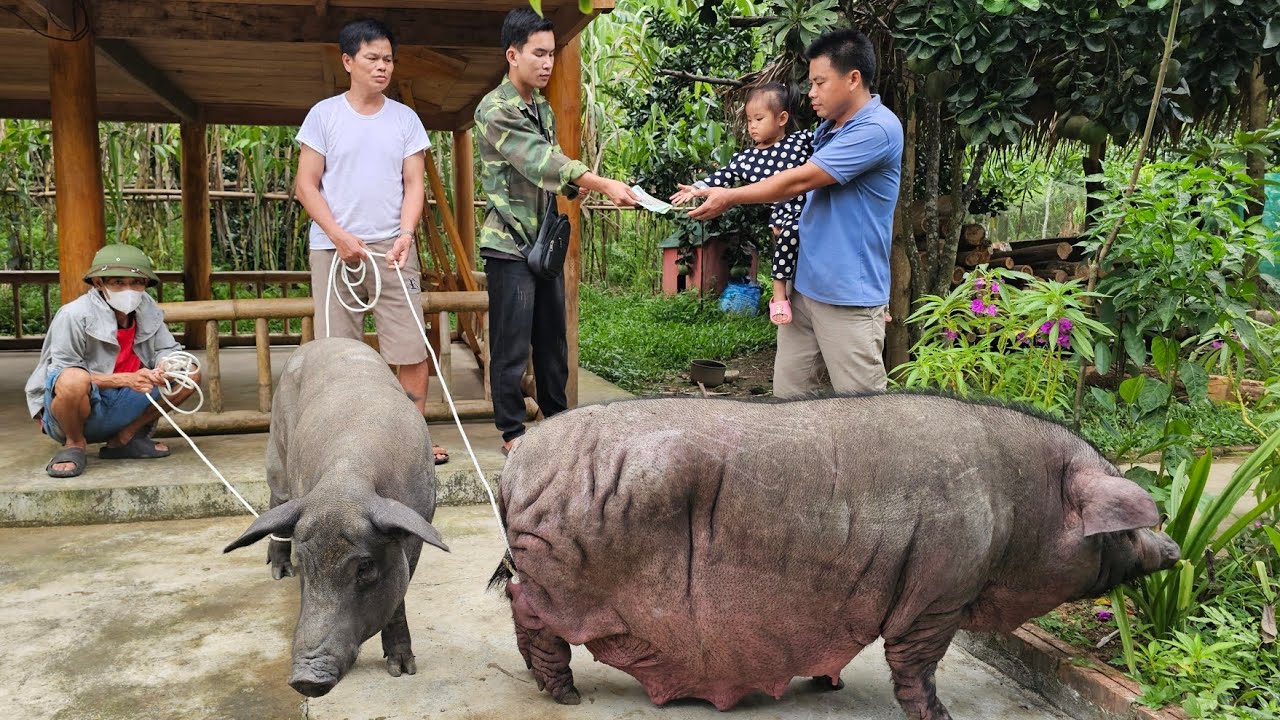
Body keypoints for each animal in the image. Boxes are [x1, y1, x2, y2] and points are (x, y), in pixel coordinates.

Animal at [224, 337, 448, 698]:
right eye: (305, 563)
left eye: (365, 567)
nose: (306, 679)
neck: (345, 482)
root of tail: (323, 340)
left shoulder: (418, 526)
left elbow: (399, 596)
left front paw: (402, 671)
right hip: (277, 451)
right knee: (276, 500)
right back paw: (279, 573)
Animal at [489, 393, 1180, 719]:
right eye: (1124, 531)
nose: (1174, 547)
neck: (1017, 508)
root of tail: (513, 466)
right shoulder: (940, 591)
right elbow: (915, 660)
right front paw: (942, 717)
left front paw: (831, 682)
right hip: (560, 573)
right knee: (526, 609)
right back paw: (565, 695)